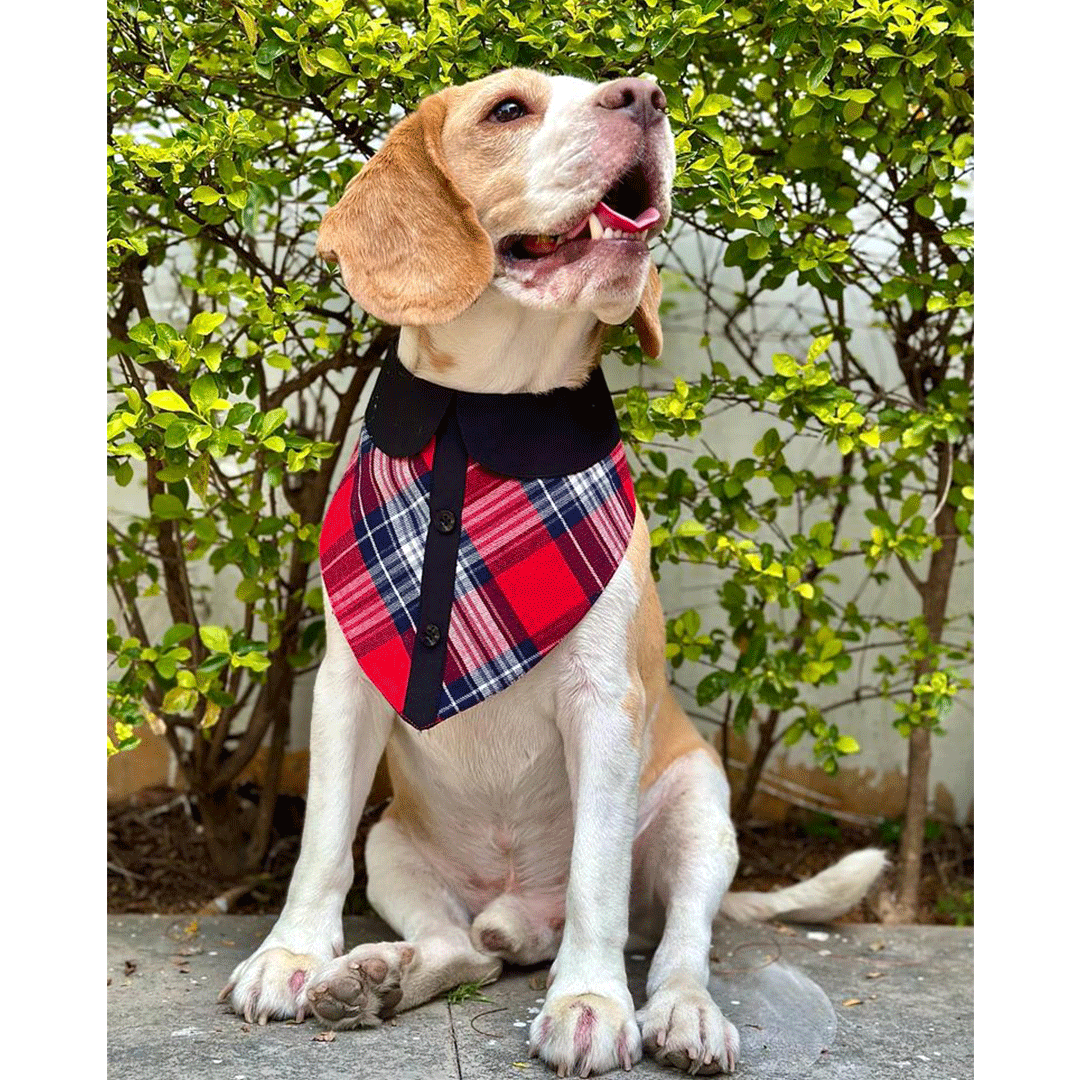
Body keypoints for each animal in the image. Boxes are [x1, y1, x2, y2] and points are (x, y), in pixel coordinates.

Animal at [221, 71, 885, 1075]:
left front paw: (590, 1002)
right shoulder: (344, 691)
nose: (646, 94)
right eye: (508, 109)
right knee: (468, 951)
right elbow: (317, 845)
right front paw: (291, 955)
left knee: (679, 943)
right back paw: (380, 976)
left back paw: (679, 1013)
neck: (481, 418)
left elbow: (596, 882)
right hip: (397, 846)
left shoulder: (604, 706)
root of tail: (516, 911)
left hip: (701, 812)